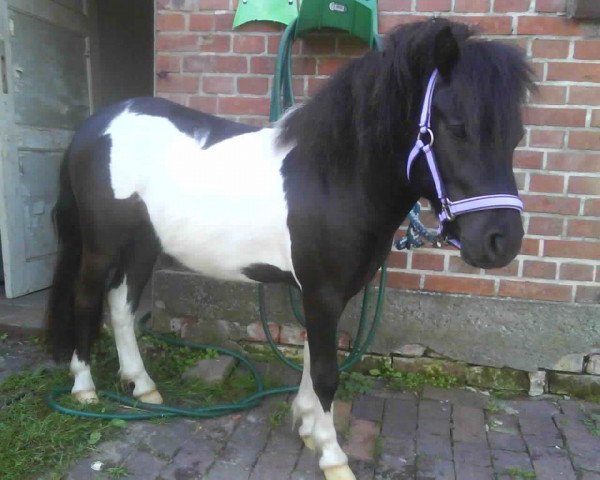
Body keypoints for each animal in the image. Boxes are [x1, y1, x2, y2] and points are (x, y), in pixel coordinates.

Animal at [48, 19, 536, 480]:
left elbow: (309, 358)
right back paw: (85, 389)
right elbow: (325, 373)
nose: (501, 241)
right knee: (86, 301)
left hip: (142, 246)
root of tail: (96, 125)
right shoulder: (321, 292)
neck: (333, 175)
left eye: (516, 135)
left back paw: (143, 385)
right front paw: (333, 456)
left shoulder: (325, 294)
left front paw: (306, 427)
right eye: (457, 129)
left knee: (121, 307)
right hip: (101, 246)